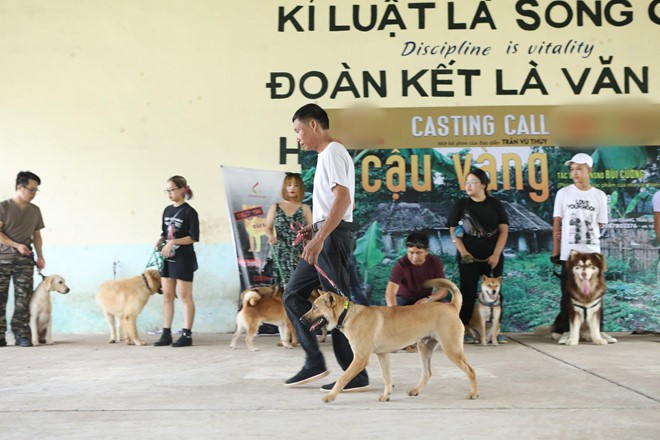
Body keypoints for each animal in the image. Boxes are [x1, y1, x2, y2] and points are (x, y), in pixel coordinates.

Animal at [302, 280, 476, 404]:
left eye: (315, 307)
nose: (301, 319)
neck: (347, 314)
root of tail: (452, 306)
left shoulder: (360, 359)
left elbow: (342, 378)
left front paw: (331, 396)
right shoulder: (382, 355)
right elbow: (386, 378)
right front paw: (386, 395)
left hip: (451, 349)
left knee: (471, 370)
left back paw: (474, 393)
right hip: (424, 348)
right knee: (427, 373)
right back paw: (415, 390)